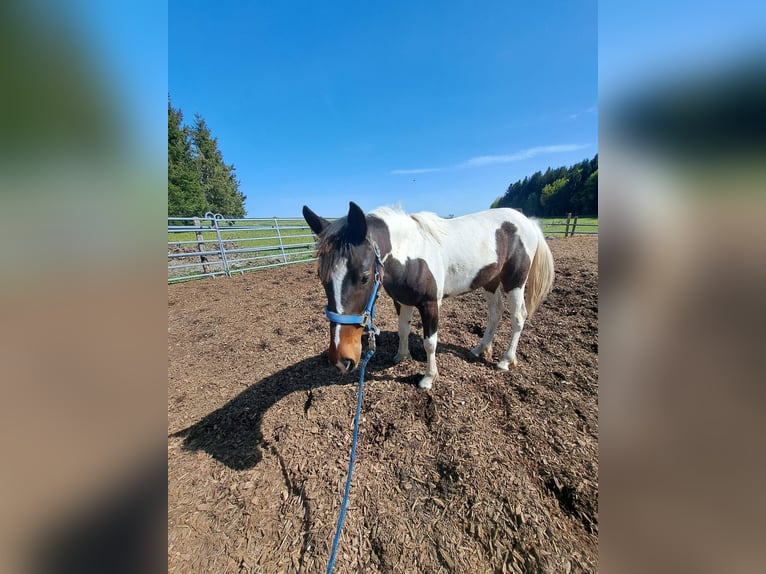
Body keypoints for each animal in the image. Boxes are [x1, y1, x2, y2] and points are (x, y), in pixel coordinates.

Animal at [304, 202, 556, 392]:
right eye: (321, 277)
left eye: (364, 277)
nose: (341, 360)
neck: (410, 254)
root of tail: (527, 221)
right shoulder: (402, 301)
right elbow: (403, 330)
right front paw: (401, 356)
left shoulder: (430, 304)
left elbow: (430, 342)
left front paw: (428, 378)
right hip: (490, 281)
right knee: (495, 313)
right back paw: (479, 349)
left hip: (515, 282)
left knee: (518, 317)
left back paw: (505, 360)